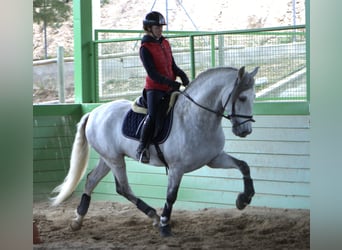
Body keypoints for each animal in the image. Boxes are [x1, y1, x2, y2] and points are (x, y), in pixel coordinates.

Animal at [50, 66, 260, 236]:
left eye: (254, 98)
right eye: (242, 97)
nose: (245, 131)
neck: (195, 117)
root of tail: (94, 112)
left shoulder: (214, 159)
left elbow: (243, 166)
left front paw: (244, 198)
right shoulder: (176, 168)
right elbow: (171, 196)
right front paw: (165, 226)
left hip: (108, 158)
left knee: (92, 180)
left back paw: (78, 220)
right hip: (114, 159)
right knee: (123, 187)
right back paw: (154, 217)